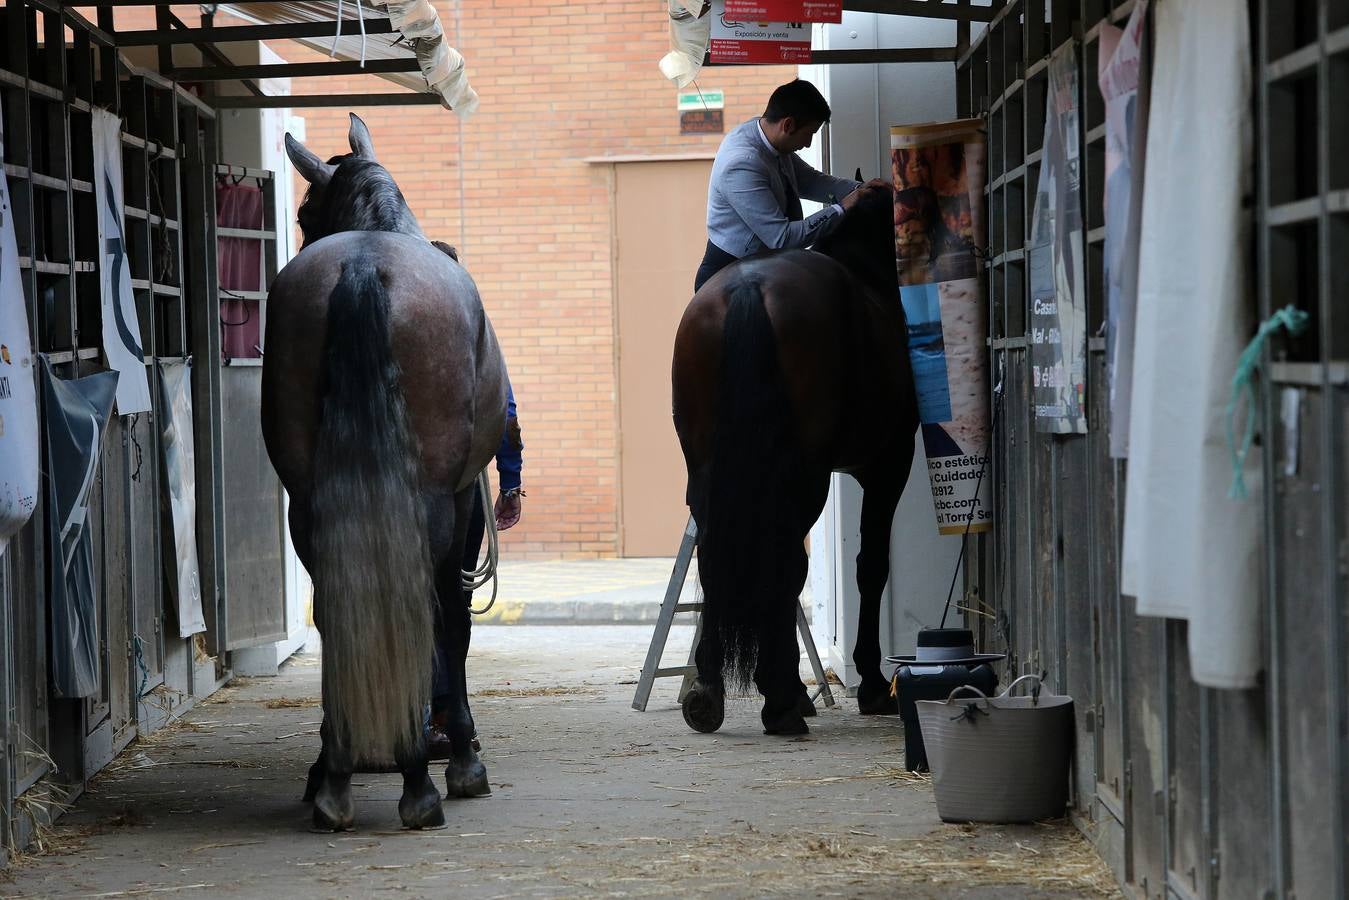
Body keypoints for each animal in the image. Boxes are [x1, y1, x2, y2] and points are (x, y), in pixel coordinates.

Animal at [260, 112, 504, 831]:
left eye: (304, 213)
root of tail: (364, 265)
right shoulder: (461, 506)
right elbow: (452, 623)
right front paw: (464, 761)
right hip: (435, 504)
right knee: (430, 610)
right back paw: (418, 779)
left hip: (309, 505)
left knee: (336, 611)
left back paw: (333, 777)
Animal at [671, 184, 917, 739]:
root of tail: (748, 286)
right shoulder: (888, 464)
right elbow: (871, 566)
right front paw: (872, 683)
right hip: (803, 478)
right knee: (784, 562)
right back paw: (780, 701)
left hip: (712, 474)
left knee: (721, 559)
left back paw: (711, 691)